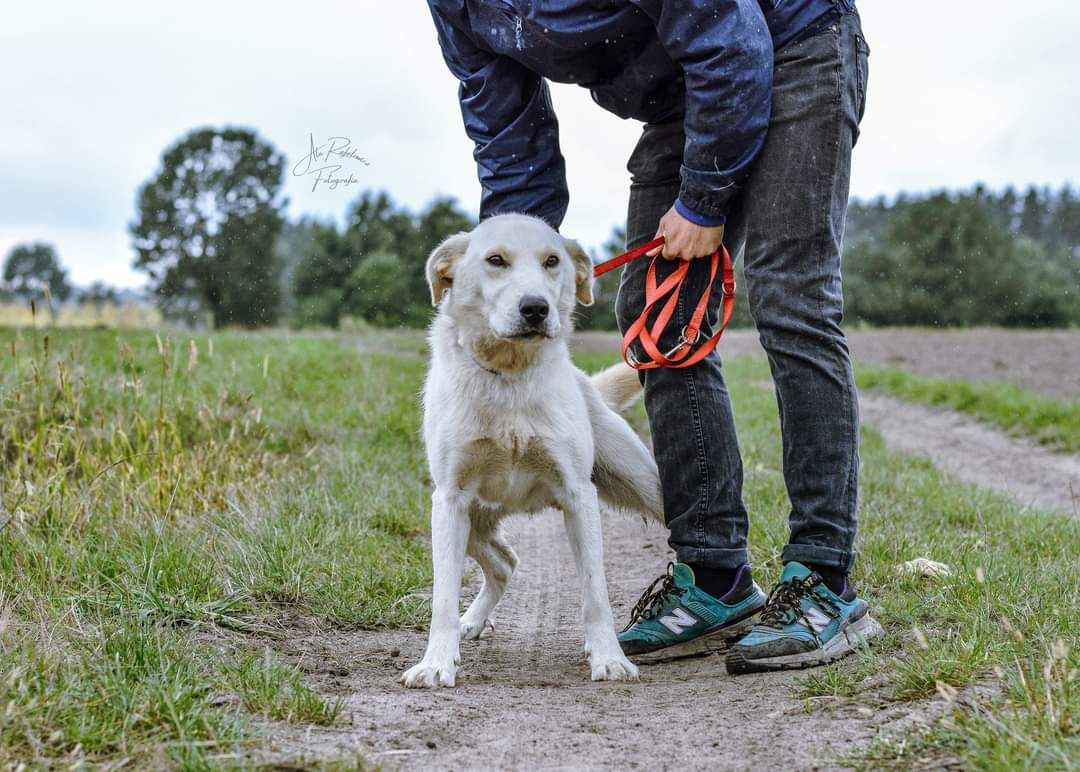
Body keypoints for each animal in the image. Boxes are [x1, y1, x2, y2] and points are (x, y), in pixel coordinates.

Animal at [399, 212, 665, 686]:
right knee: (505, 563)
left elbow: (595, 592)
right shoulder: (449, 501)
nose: (536, 308)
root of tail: (587, 385)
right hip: (471, 521)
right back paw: (471, 622)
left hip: (644, 483)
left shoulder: (579, 496)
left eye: (552, 261)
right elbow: (443, 598)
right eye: (495, 260)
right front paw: (435, 663)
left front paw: (608, 658)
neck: (509, 376)